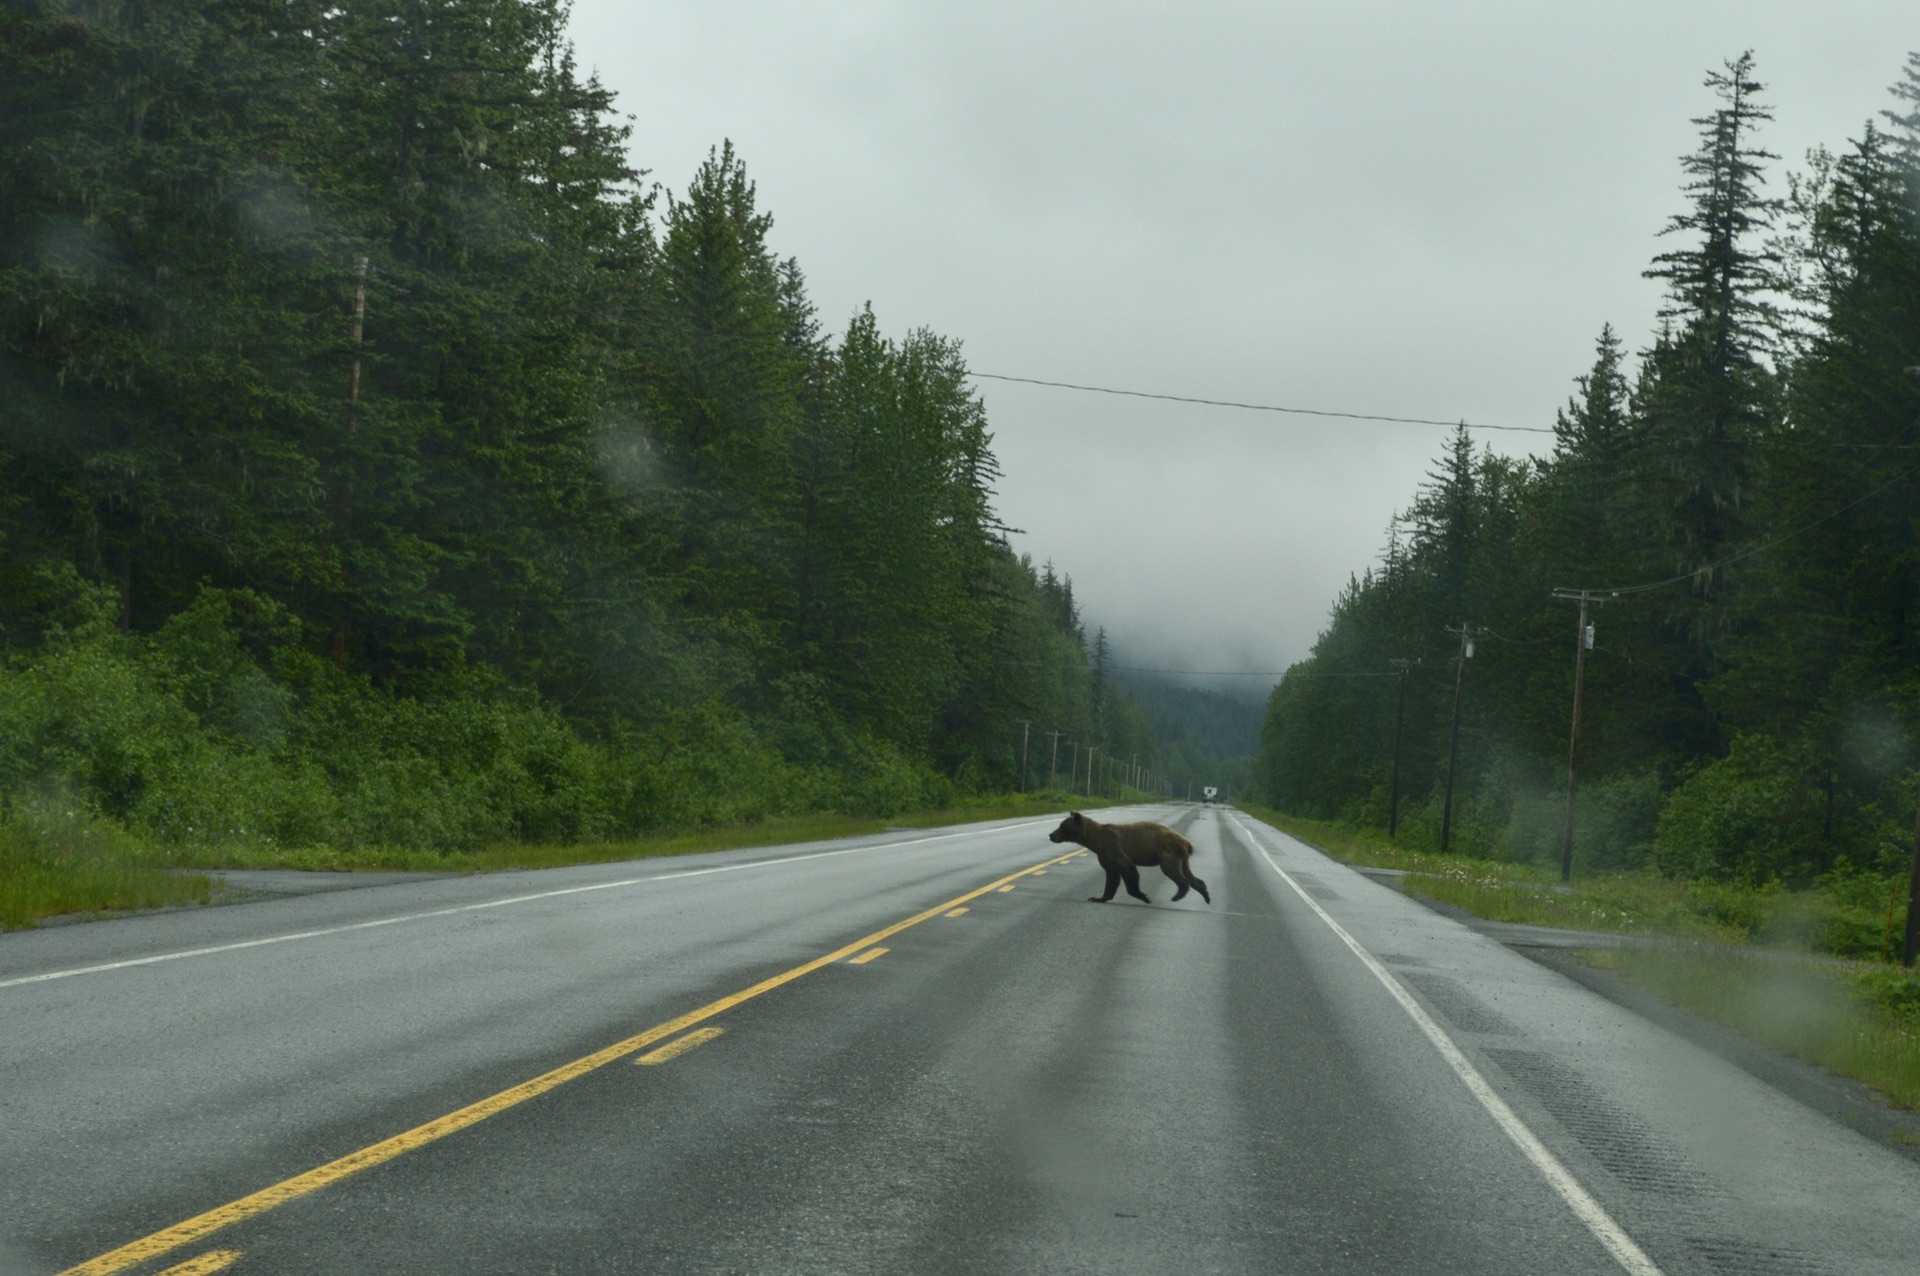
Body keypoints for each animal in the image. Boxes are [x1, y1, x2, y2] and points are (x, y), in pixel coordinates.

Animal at [1059, 809, 1205, 901]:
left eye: (1062, 826)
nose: (1053, 835)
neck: (1096, 842)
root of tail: (1186, 842)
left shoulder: (1113, 848)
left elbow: (1127, 869)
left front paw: (1143, 896)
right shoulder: (1106, 857)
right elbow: (1112, 877)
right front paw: (1098, 897)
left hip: (1168, 852)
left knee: (1171, 870)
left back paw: (1178, 894)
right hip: (1182, 857)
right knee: (1188, 873)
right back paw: (1204, 892)